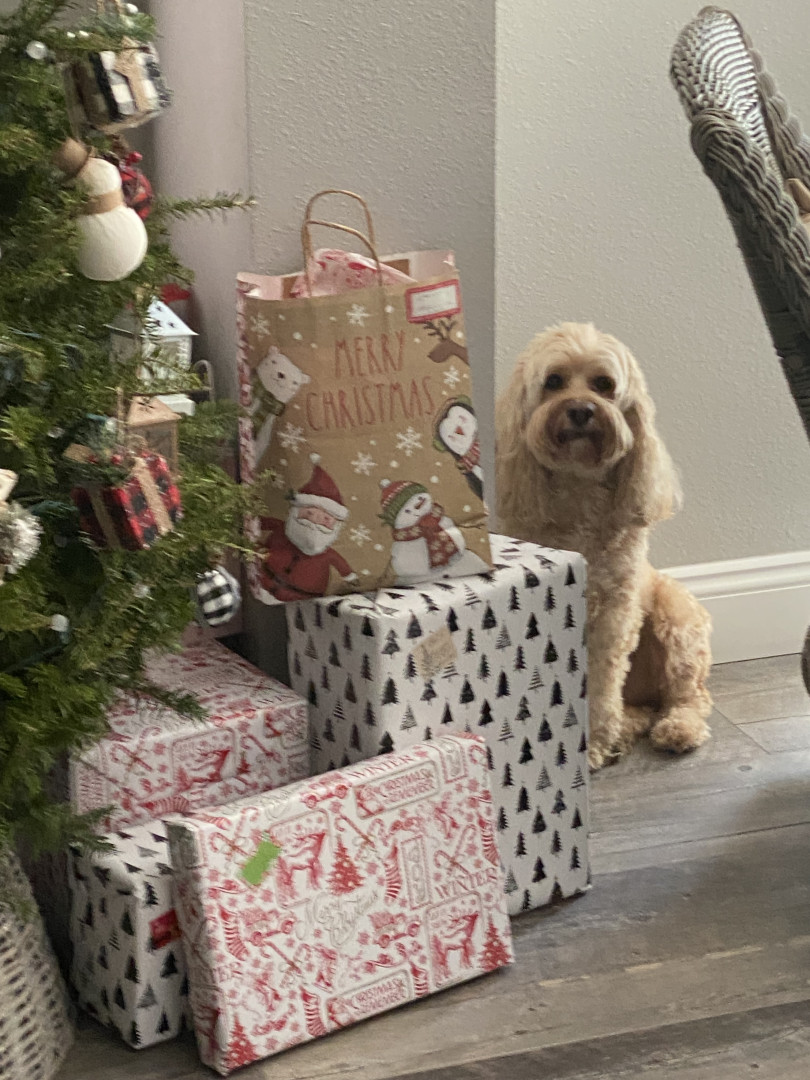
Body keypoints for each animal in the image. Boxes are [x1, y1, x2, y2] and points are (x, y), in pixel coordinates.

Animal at [495, 322, 712, 769]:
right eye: (553, 381)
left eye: (604, 384)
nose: (581, 410)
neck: (578, 492)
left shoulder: (614, 616)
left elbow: (600, 684)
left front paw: (591, 745)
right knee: (643, 708)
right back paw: (627, 728)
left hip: (678, 618)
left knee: (689, 696)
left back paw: (676, 728)